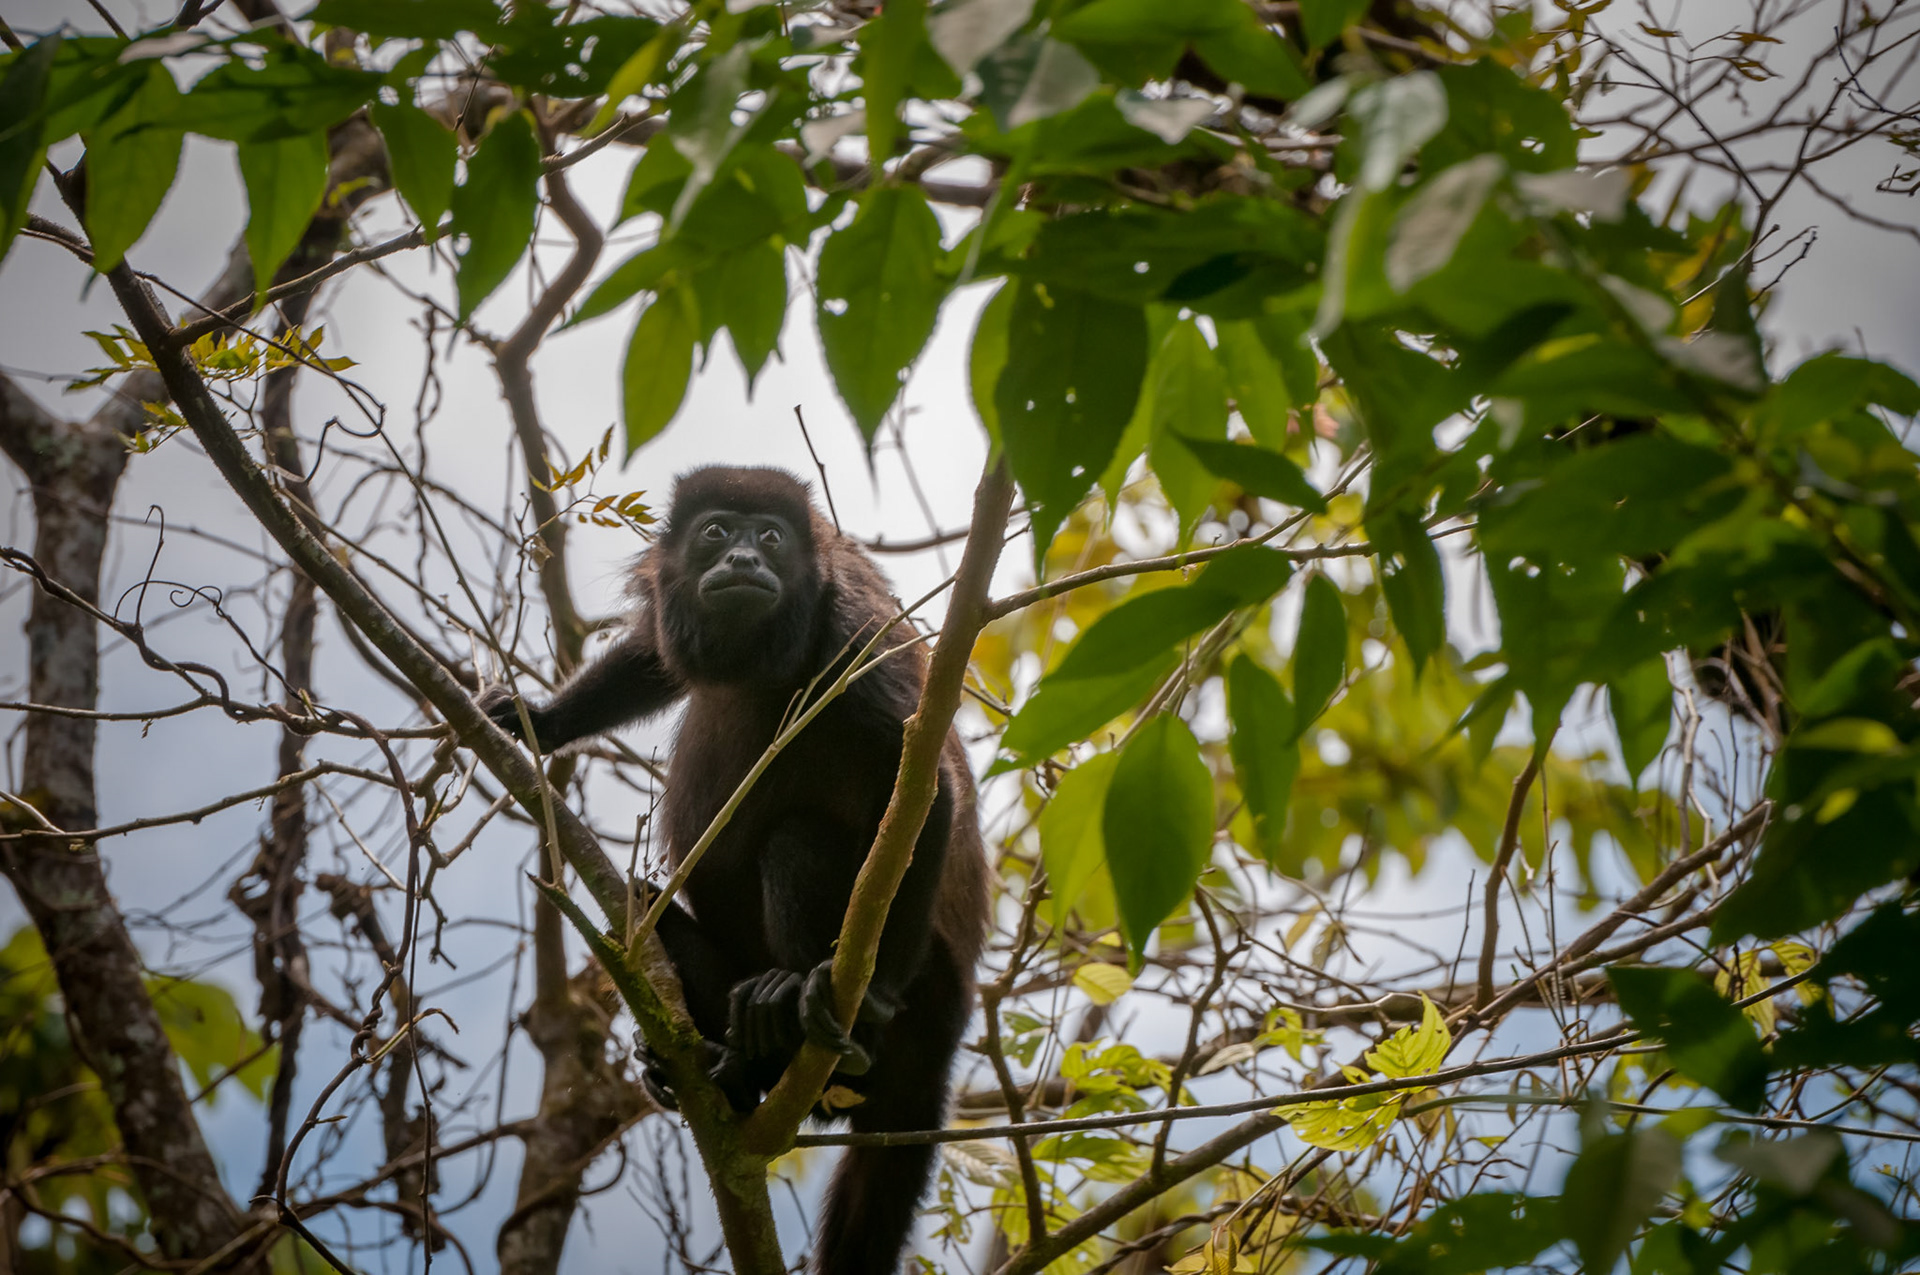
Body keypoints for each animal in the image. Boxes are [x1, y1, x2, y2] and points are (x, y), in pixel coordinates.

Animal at [482, 466, 990, 1275]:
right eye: (717, 531)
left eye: (773, 538)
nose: (746, 559)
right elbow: (650, 655)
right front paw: (541, 718)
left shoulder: (853, 635)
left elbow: (926, 785)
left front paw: (871, 992)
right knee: (638, 907)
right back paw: (721, 1061)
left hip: (928, 980)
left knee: (797, 844)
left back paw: (796, 1015)